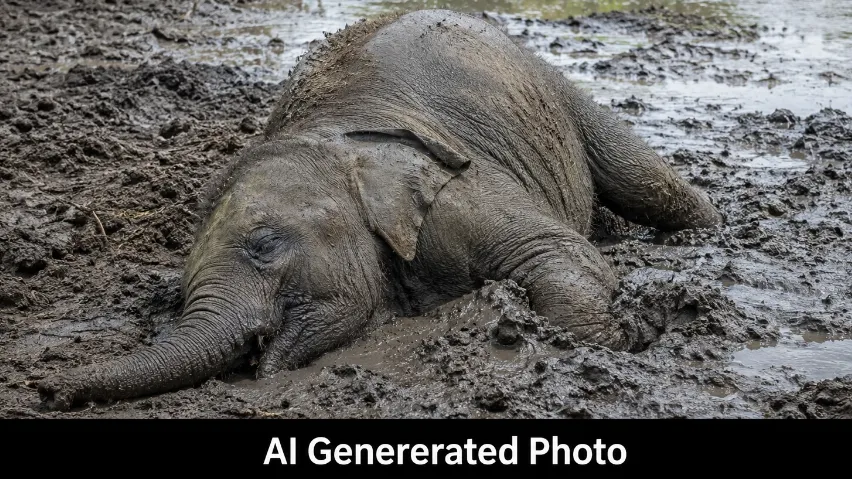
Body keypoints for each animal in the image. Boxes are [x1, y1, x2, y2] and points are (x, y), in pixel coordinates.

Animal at [38, 9, 722, 411]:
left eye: (265, 246)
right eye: (177, 292)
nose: (44, 388)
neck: (329, 140)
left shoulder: (457, 191)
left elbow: (556, 254)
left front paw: (633, 332)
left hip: (560, 93)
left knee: (650, 184)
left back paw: (707, 234)